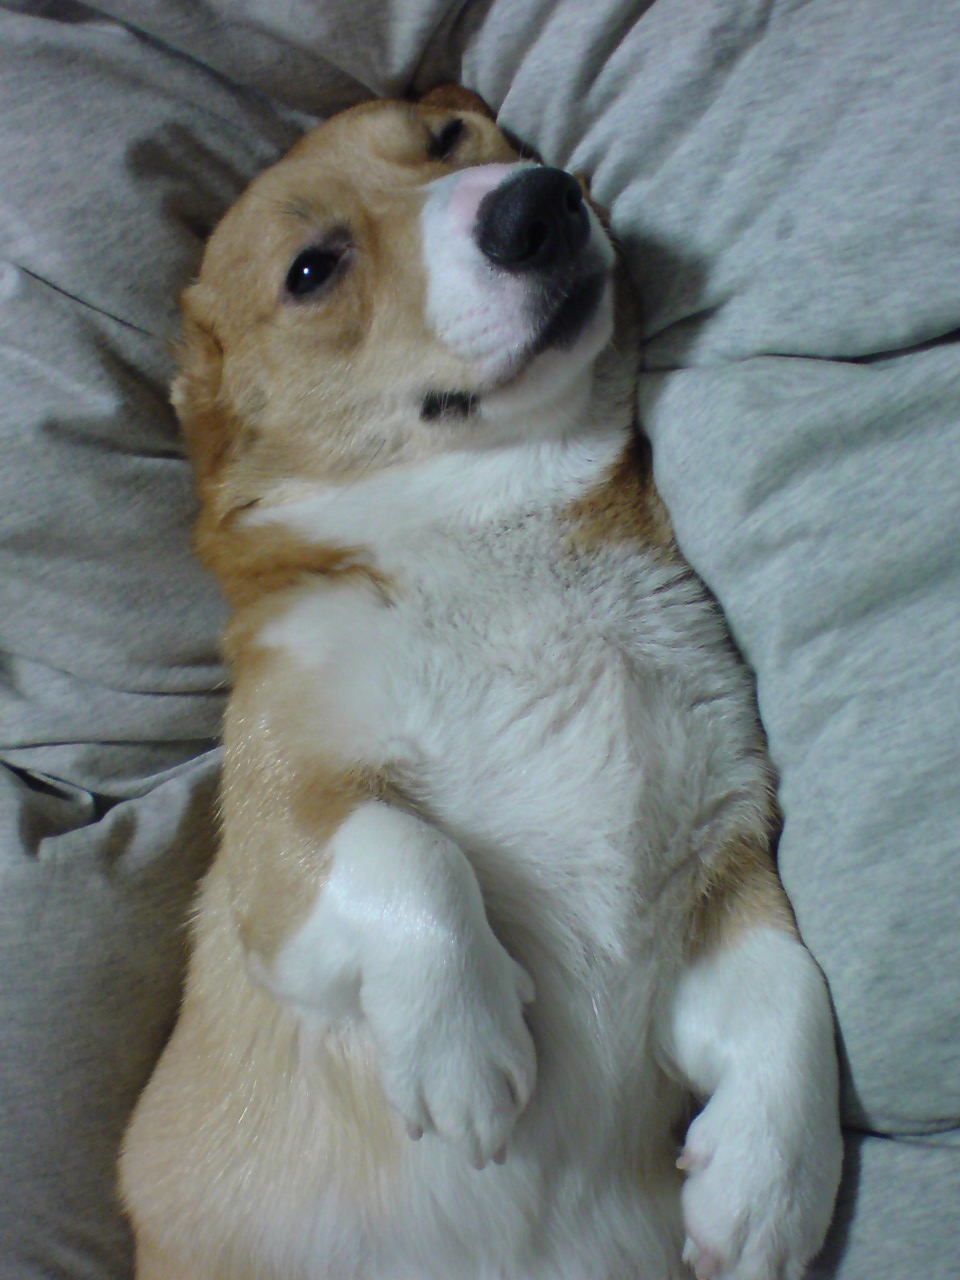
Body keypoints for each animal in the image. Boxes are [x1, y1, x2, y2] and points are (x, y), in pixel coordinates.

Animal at [119, 87, 843, 1280]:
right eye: (311, 269)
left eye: (451, 137)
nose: (537, 204)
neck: (491, 522)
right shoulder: (278, 845)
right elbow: (409, 850)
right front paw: (463, 1048)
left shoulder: (723, 864)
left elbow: (789, 986)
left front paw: (768, 1185)